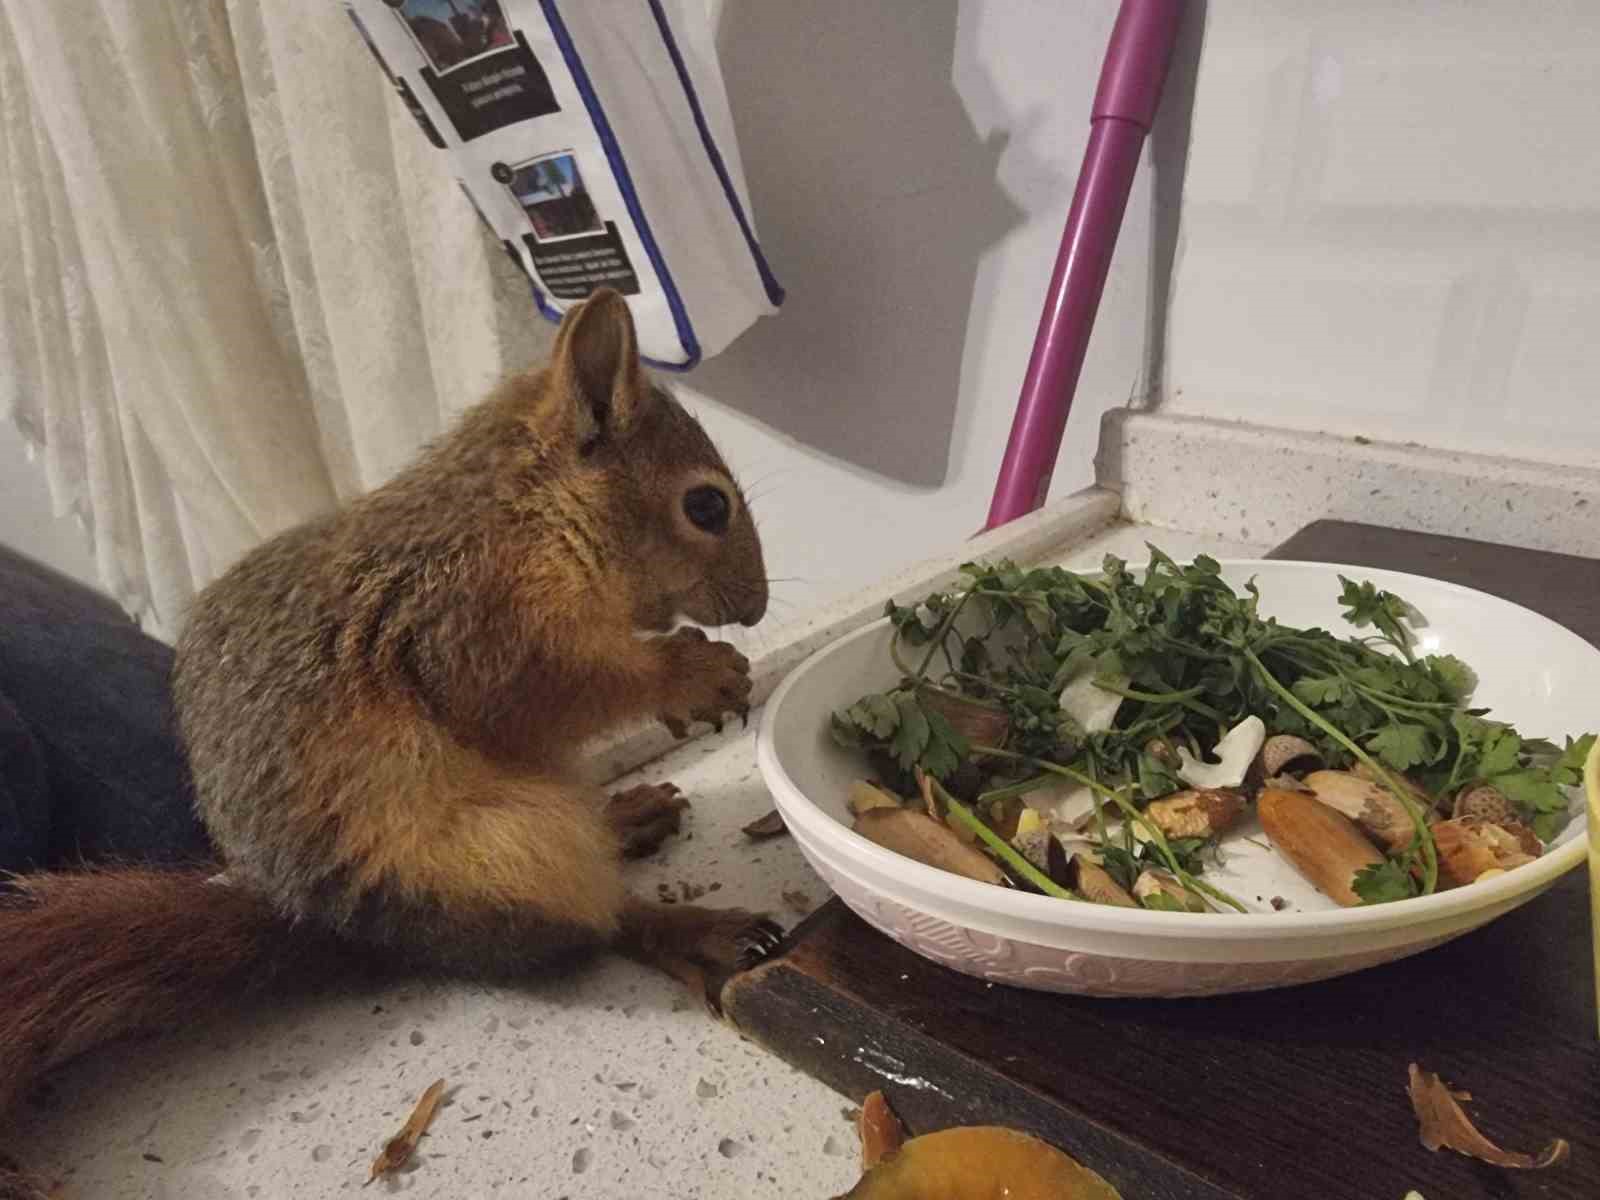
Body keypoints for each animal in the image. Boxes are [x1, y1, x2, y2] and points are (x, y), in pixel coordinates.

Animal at [0, 289, 780, 1196]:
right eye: (706, 506)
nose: (759, 608)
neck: (524, 523)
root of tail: (331, 931)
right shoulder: (469, 636)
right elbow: (561, 691)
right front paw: (695, 674)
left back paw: (629, 814)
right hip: (508, 846)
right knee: (599, 925)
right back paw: (691, 928)